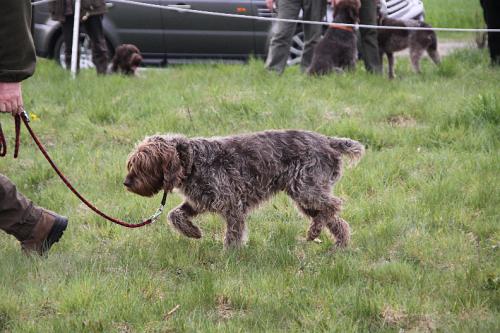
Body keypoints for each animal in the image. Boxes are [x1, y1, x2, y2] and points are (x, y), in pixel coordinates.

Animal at [124, 128, 364, 248]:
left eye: (143, 165)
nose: (126, 182)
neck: (192, 161)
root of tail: (328, 141)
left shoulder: (232, 205)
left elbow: (233, 234)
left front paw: (229, 257)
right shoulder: (200, 201)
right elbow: (174, 215)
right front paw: (193, 231)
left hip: (306, 190)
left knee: (334, 205)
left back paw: (315, 231)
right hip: (305, 197)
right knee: (337, 220)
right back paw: (340, 244)